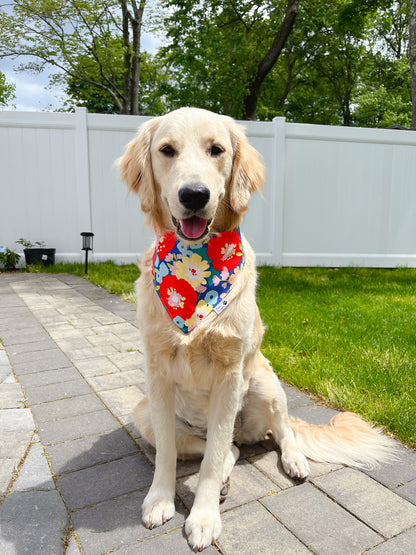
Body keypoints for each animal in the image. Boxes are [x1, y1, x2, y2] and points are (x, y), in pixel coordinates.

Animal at [116, 107, 394, 552]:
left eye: (216, 150)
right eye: (166, 150)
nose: (194, 195)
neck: (193, 270)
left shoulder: (231, 374)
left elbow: (214, 458)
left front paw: (204, 517)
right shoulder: (156, 372)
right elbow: (173, 456)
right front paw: (160, 500)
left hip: (265, 382)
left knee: (277, 432)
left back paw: (293, 460)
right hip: (143, 413)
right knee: (220, 447)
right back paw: (226, 474)